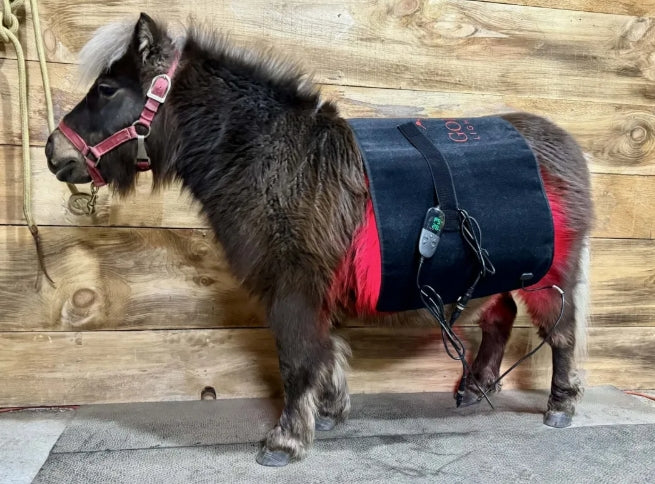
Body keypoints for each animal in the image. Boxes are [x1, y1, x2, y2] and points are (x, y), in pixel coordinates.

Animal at [45, 13, 593, 467]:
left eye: (107, 89)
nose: (54, 153)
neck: (268, 155)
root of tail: (568, 145)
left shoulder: (294, 284)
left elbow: (298, 358)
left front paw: (286, 440)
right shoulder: (308, 287)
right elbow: (324, 350)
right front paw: (329, 412)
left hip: (550, 273)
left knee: (561, 333)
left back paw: (560, 405)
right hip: (495, 273)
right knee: (500, 318)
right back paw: (474, 387)